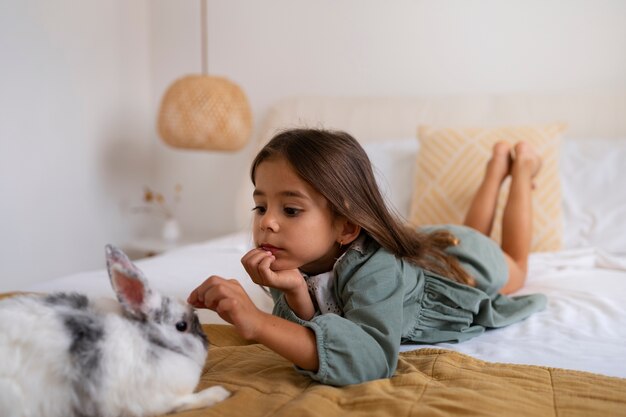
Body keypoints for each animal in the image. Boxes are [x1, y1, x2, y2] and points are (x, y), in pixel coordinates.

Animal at [0, 244, 229, 416]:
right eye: (182, 326)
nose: (206, 341)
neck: (149, 339)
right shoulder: (156, 400)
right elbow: (185, 402)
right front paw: (220, 393)